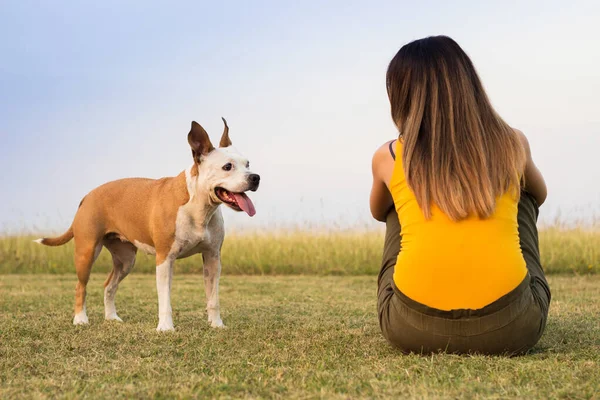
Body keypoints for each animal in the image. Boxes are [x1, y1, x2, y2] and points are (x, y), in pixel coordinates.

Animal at [33, 119, 258, 332]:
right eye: (227, 167)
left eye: (247, 164)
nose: (255, 177)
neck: (198, 205)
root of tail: (88, 196)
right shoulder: (165, 259)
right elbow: (165, 300)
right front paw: (165, 327)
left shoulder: (212, 258)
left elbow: (213, 298)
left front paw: (217, 324)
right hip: (86, 252)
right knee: (80, 287)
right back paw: (80, 319)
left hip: (126, 260)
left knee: (109, 286)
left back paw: (111, 317)